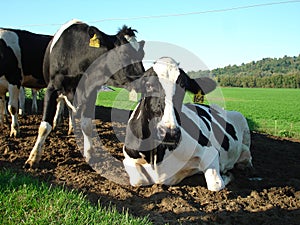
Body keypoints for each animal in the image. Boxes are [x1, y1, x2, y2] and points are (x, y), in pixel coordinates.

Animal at [24, 19, 145, 169]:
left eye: (142, 54)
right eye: (124, 53)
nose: (144, 80)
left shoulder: (91, 92)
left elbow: (86, 125)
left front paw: (89, 154)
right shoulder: (51, 89)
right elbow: (44, 126)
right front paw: (33, 158)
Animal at [123, 57, 252, 191]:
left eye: (183, 86)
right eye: (148, 85)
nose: (170, 133)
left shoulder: (210, 151)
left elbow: (216, 184)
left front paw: (226, 175)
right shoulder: (128, 158)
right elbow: (137, 180)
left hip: (242, 120)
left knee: (247, 154)